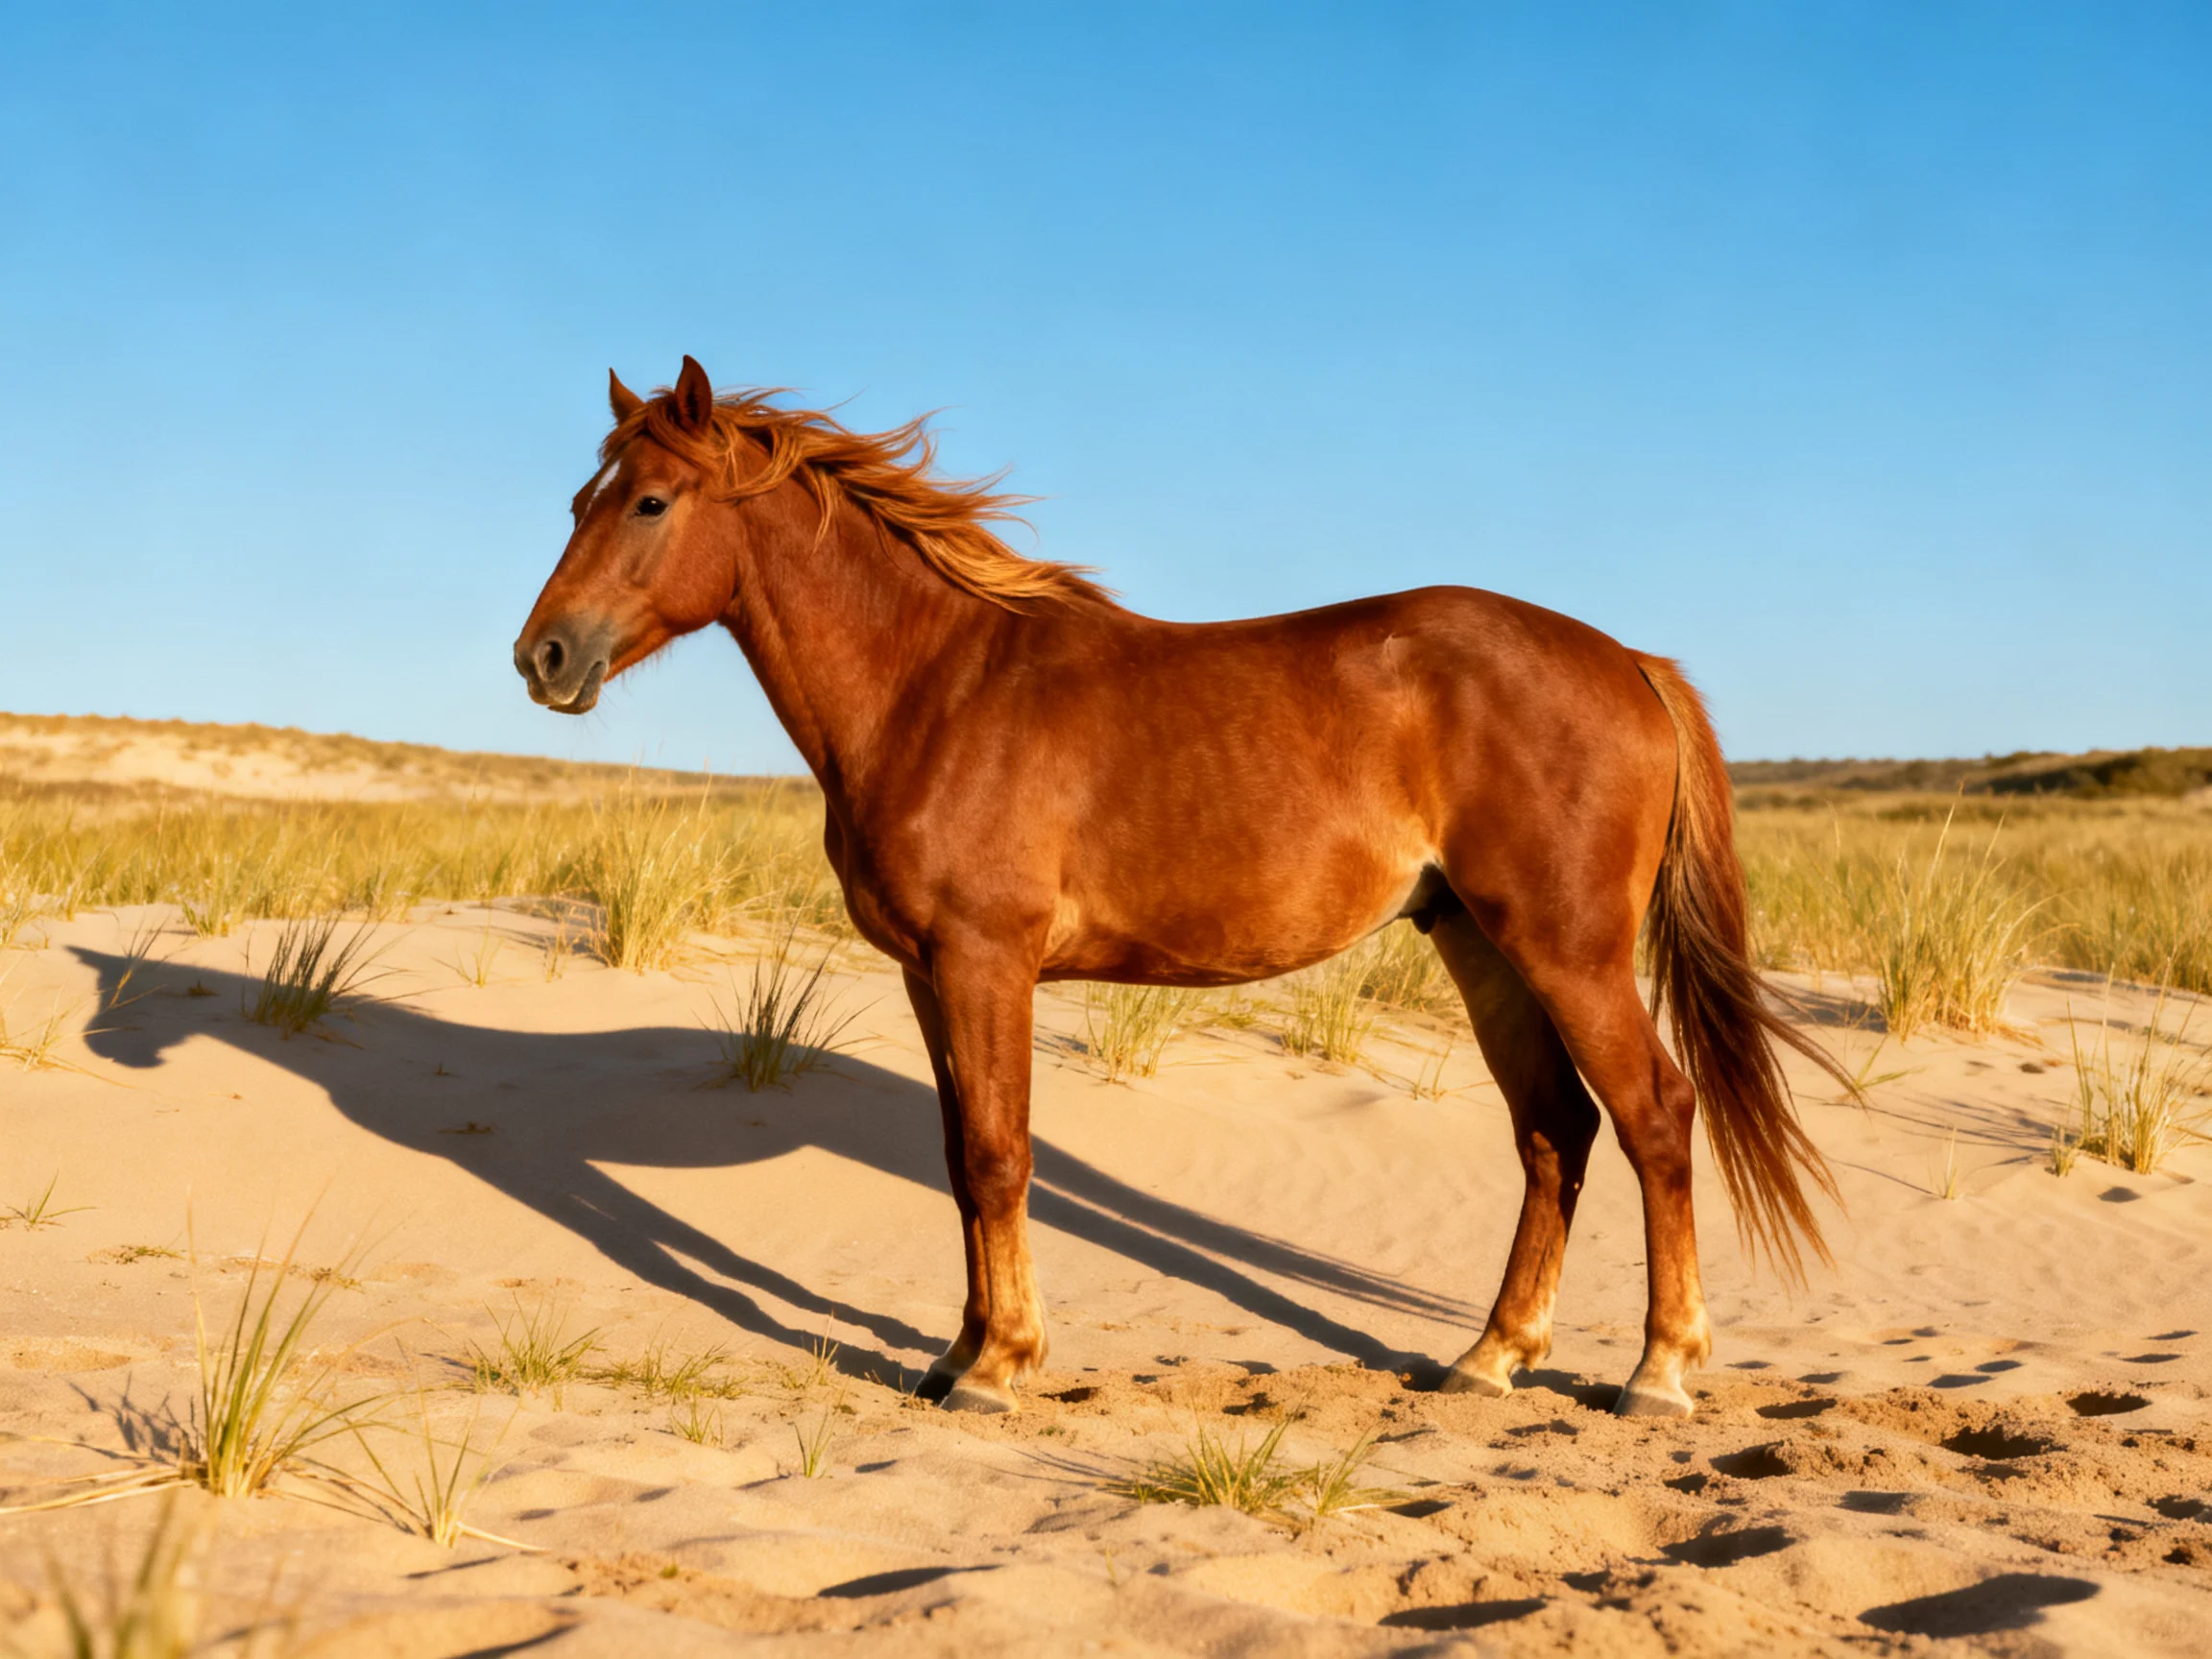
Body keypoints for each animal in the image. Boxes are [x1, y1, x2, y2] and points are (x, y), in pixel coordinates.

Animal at [513, 356, 1848, 1418]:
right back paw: (1490, 1357)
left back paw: (1658, 1373)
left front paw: (1000, 1367)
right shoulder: (930, 975)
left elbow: (997, 1154)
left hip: (1567, 949)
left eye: (649, 500)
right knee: (1554, 1130)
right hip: (1479, 944)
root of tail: (1625, 659)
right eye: (580, 500)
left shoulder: (987, 961)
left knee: (1654, 1117)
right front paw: (956, 1356)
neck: (935, 686)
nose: (544, 658)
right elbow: (957, 1157)